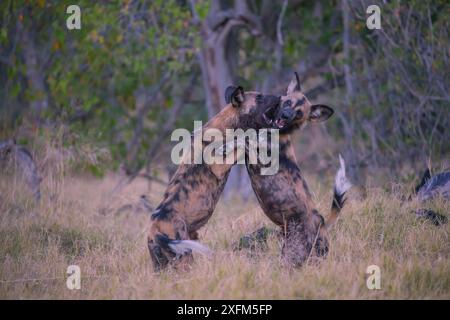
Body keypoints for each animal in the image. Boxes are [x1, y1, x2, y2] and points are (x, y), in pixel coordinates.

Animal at [148, 86, 282, 272]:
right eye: (259, 98)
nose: (280, 97)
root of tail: (154, 230)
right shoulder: (219, 166)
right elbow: (243, 140)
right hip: (185, 258)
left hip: (160, 267)